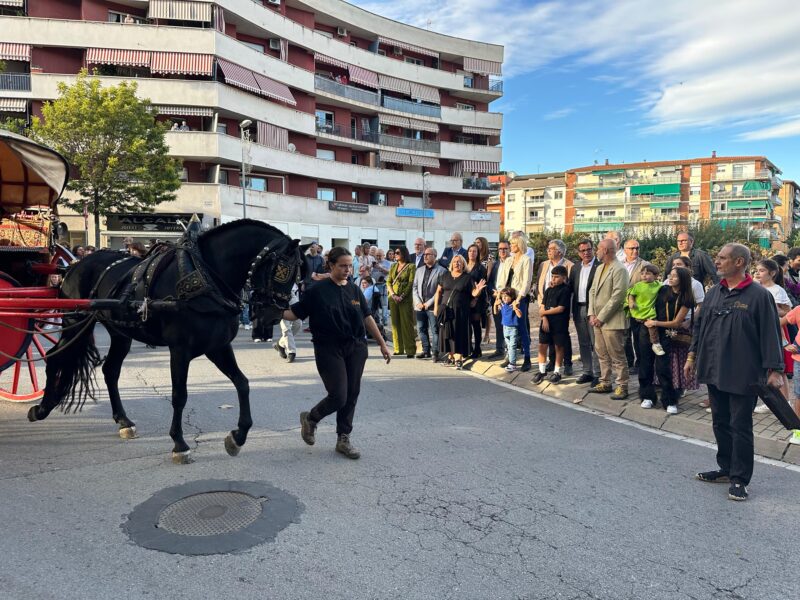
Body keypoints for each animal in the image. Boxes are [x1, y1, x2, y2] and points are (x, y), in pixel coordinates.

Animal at [25, 220, 306, 464]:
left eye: (297, 274)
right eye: (281, 269)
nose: (273, 316)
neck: (204, 277)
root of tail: (73, 266)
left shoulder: (217, 347)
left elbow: (243, 383)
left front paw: (238, 436)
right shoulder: (180, 350)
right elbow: (179, 395)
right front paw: (179, 444)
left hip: (119, 333)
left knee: (110, 370)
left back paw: (123, 420)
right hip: (75, 322)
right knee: (56, 357)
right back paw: (42, 408)